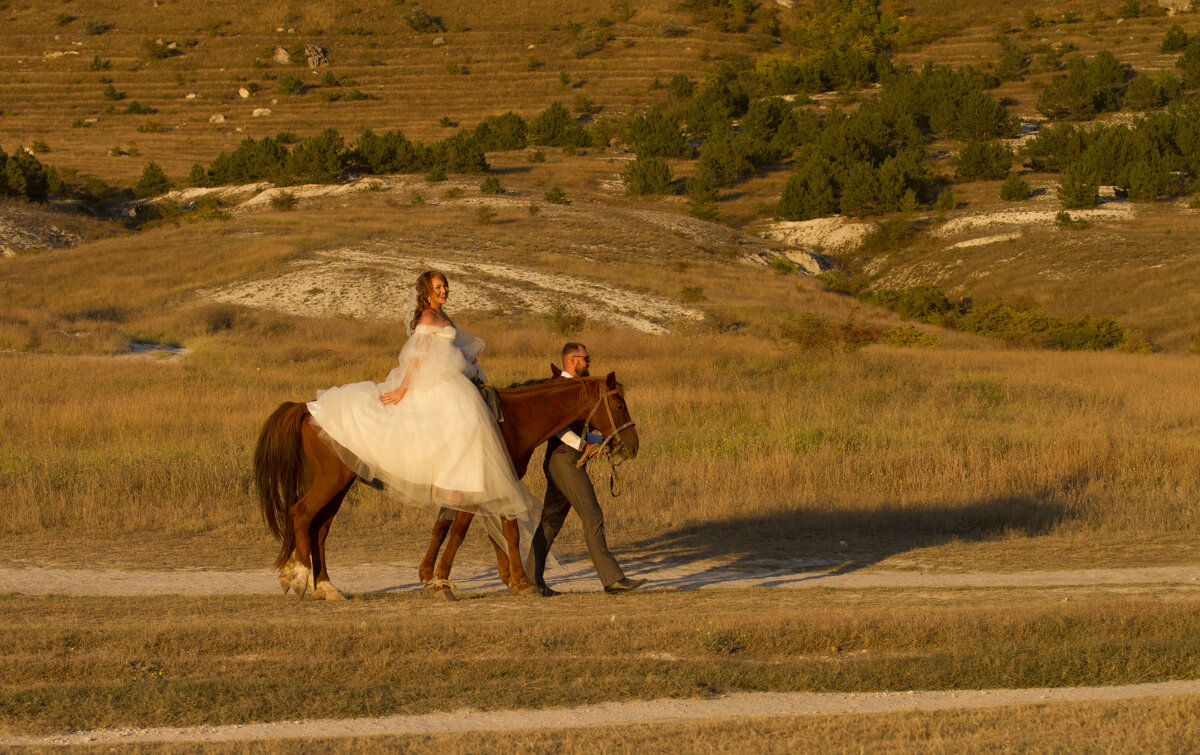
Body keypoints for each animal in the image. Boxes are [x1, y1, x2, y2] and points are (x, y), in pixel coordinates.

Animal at [253, 372, 638, 600]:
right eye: (619, 403)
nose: (632, 445)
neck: (509, 421)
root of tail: (307, 408)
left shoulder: (488, 485)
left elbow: (479, 529)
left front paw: (514, 579)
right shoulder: (480, 487)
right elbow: (464, 531)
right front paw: (443, 581)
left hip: (337, 484)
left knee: (319, 528)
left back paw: (326, 586)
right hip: (331, 481)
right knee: (301, 515)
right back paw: (300, 578)